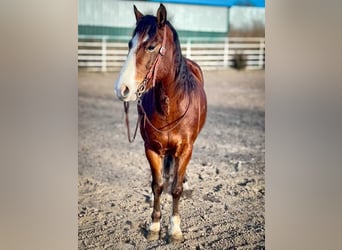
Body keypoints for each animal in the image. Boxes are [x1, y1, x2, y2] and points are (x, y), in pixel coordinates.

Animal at [115, 3, 207, 241]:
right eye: (130, 44)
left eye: (151, 46)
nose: (122, 89)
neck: (169, 107)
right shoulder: (152, 149)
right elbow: (157, 185)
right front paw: (155, 225)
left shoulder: (185, 150)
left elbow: (175, 189)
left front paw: (174, 229)